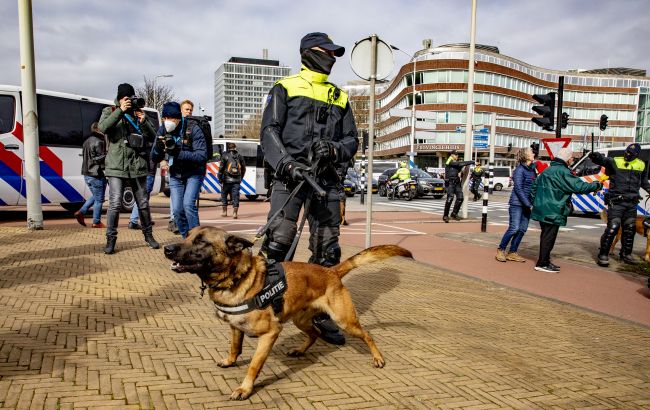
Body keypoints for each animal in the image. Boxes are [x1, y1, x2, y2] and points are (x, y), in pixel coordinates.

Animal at [165, 226, 412, 398]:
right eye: (186, 236)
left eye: (201, 241)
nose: (167, 249)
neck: (238, 277)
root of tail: (331, 271)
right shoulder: (235, 327)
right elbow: (235, 348)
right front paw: (230, 361)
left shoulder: (270, 333)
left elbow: (254, 365)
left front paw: (245, 389)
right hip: (301, 321)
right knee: (314, 333)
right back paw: (299, 350)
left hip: (344, 321)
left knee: (367, 334)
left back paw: (378, 358)